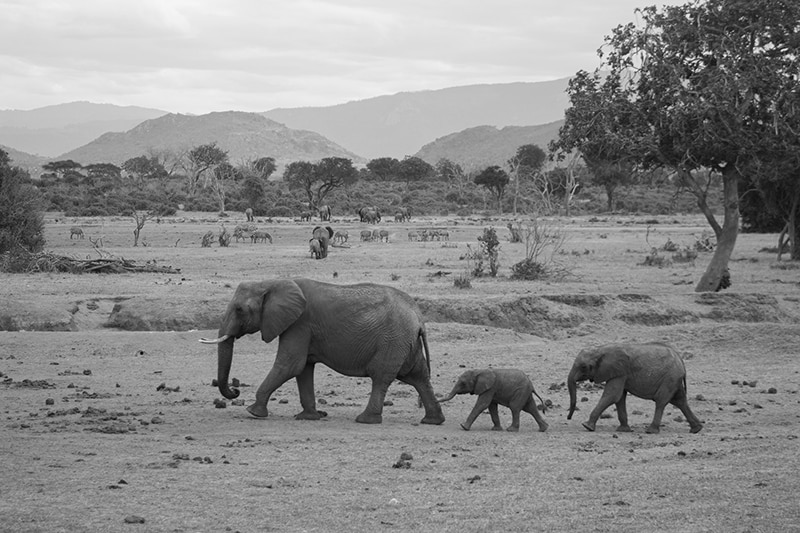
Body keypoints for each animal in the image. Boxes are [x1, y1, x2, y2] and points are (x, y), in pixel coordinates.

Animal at [198, 278, 446, 424]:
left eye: (240, 309)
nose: (235, 391)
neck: (273, 282)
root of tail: (419, 317)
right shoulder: (302, 328)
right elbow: (303, 369)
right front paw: (309, 417)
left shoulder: (299, 323)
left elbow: (290, 365)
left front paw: (253, 412)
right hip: (405, 343)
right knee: (418, 376)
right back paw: (433, 421)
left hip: (393, 340)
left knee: (381, 376)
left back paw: (365, 420)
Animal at [564, 342, 704, 434]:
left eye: (583, 367)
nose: (568, 418)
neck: (601, 349)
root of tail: (681, 360)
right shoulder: (620, 374)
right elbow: (619, 398)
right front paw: (623, 430)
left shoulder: (620, 371)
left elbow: (612, 395)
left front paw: (586, 426)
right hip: (674, 379)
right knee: (680, 401)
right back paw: (696, 429)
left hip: (670, 378)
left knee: (661, 401)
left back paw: (651, 431)